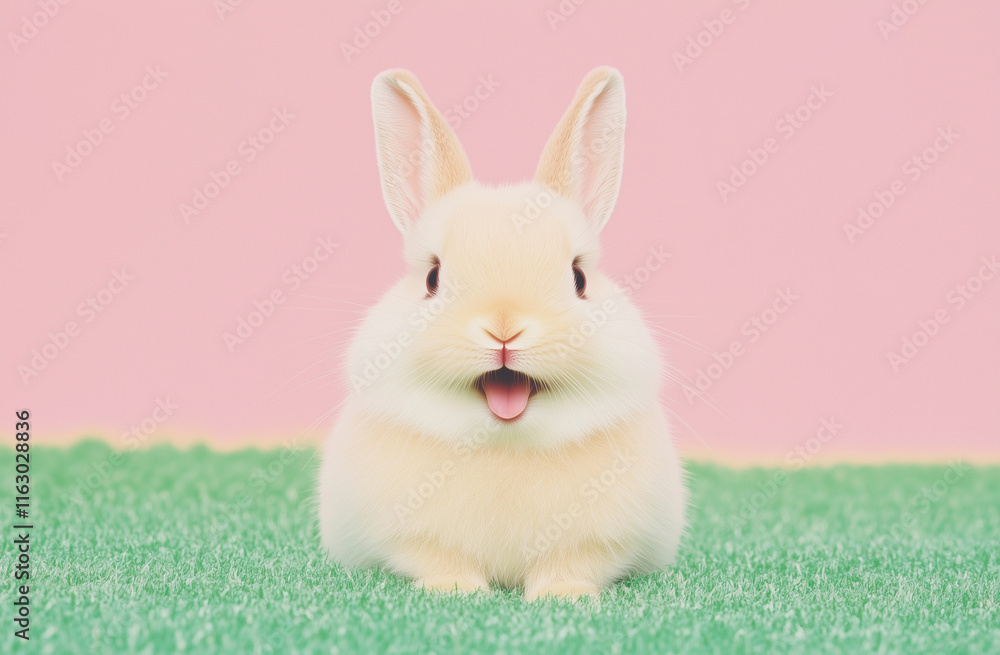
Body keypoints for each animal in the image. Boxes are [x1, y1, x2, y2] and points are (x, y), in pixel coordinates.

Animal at [318, 67, 687, 601]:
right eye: (432, 278)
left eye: (579, 278)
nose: (505, 329)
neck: (504, 440)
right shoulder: (413, 539)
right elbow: (436, 558)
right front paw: (455, 590)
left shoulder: (596, 543)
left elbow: (573, 563)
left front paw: (564, 596)